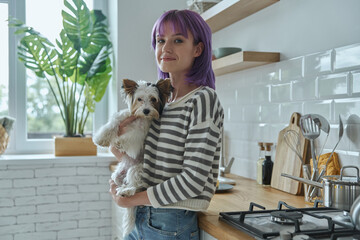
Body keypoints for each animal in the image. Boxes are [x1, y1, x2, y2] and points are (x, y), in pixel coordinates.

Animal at [93, 78, 172, 236]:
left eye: (153, 99)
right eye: (139, 99)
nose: (146, 110)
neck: (140, 118)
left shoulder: (140, 135)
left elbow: (131, 138)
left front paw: (120, 142)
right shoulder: (122, 118)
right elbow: (111, 125)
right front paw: (101, 139)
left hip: (137, 169)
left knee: (138, 186)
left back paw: (126, 190)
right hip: (117, 175)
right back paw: (123, 188)